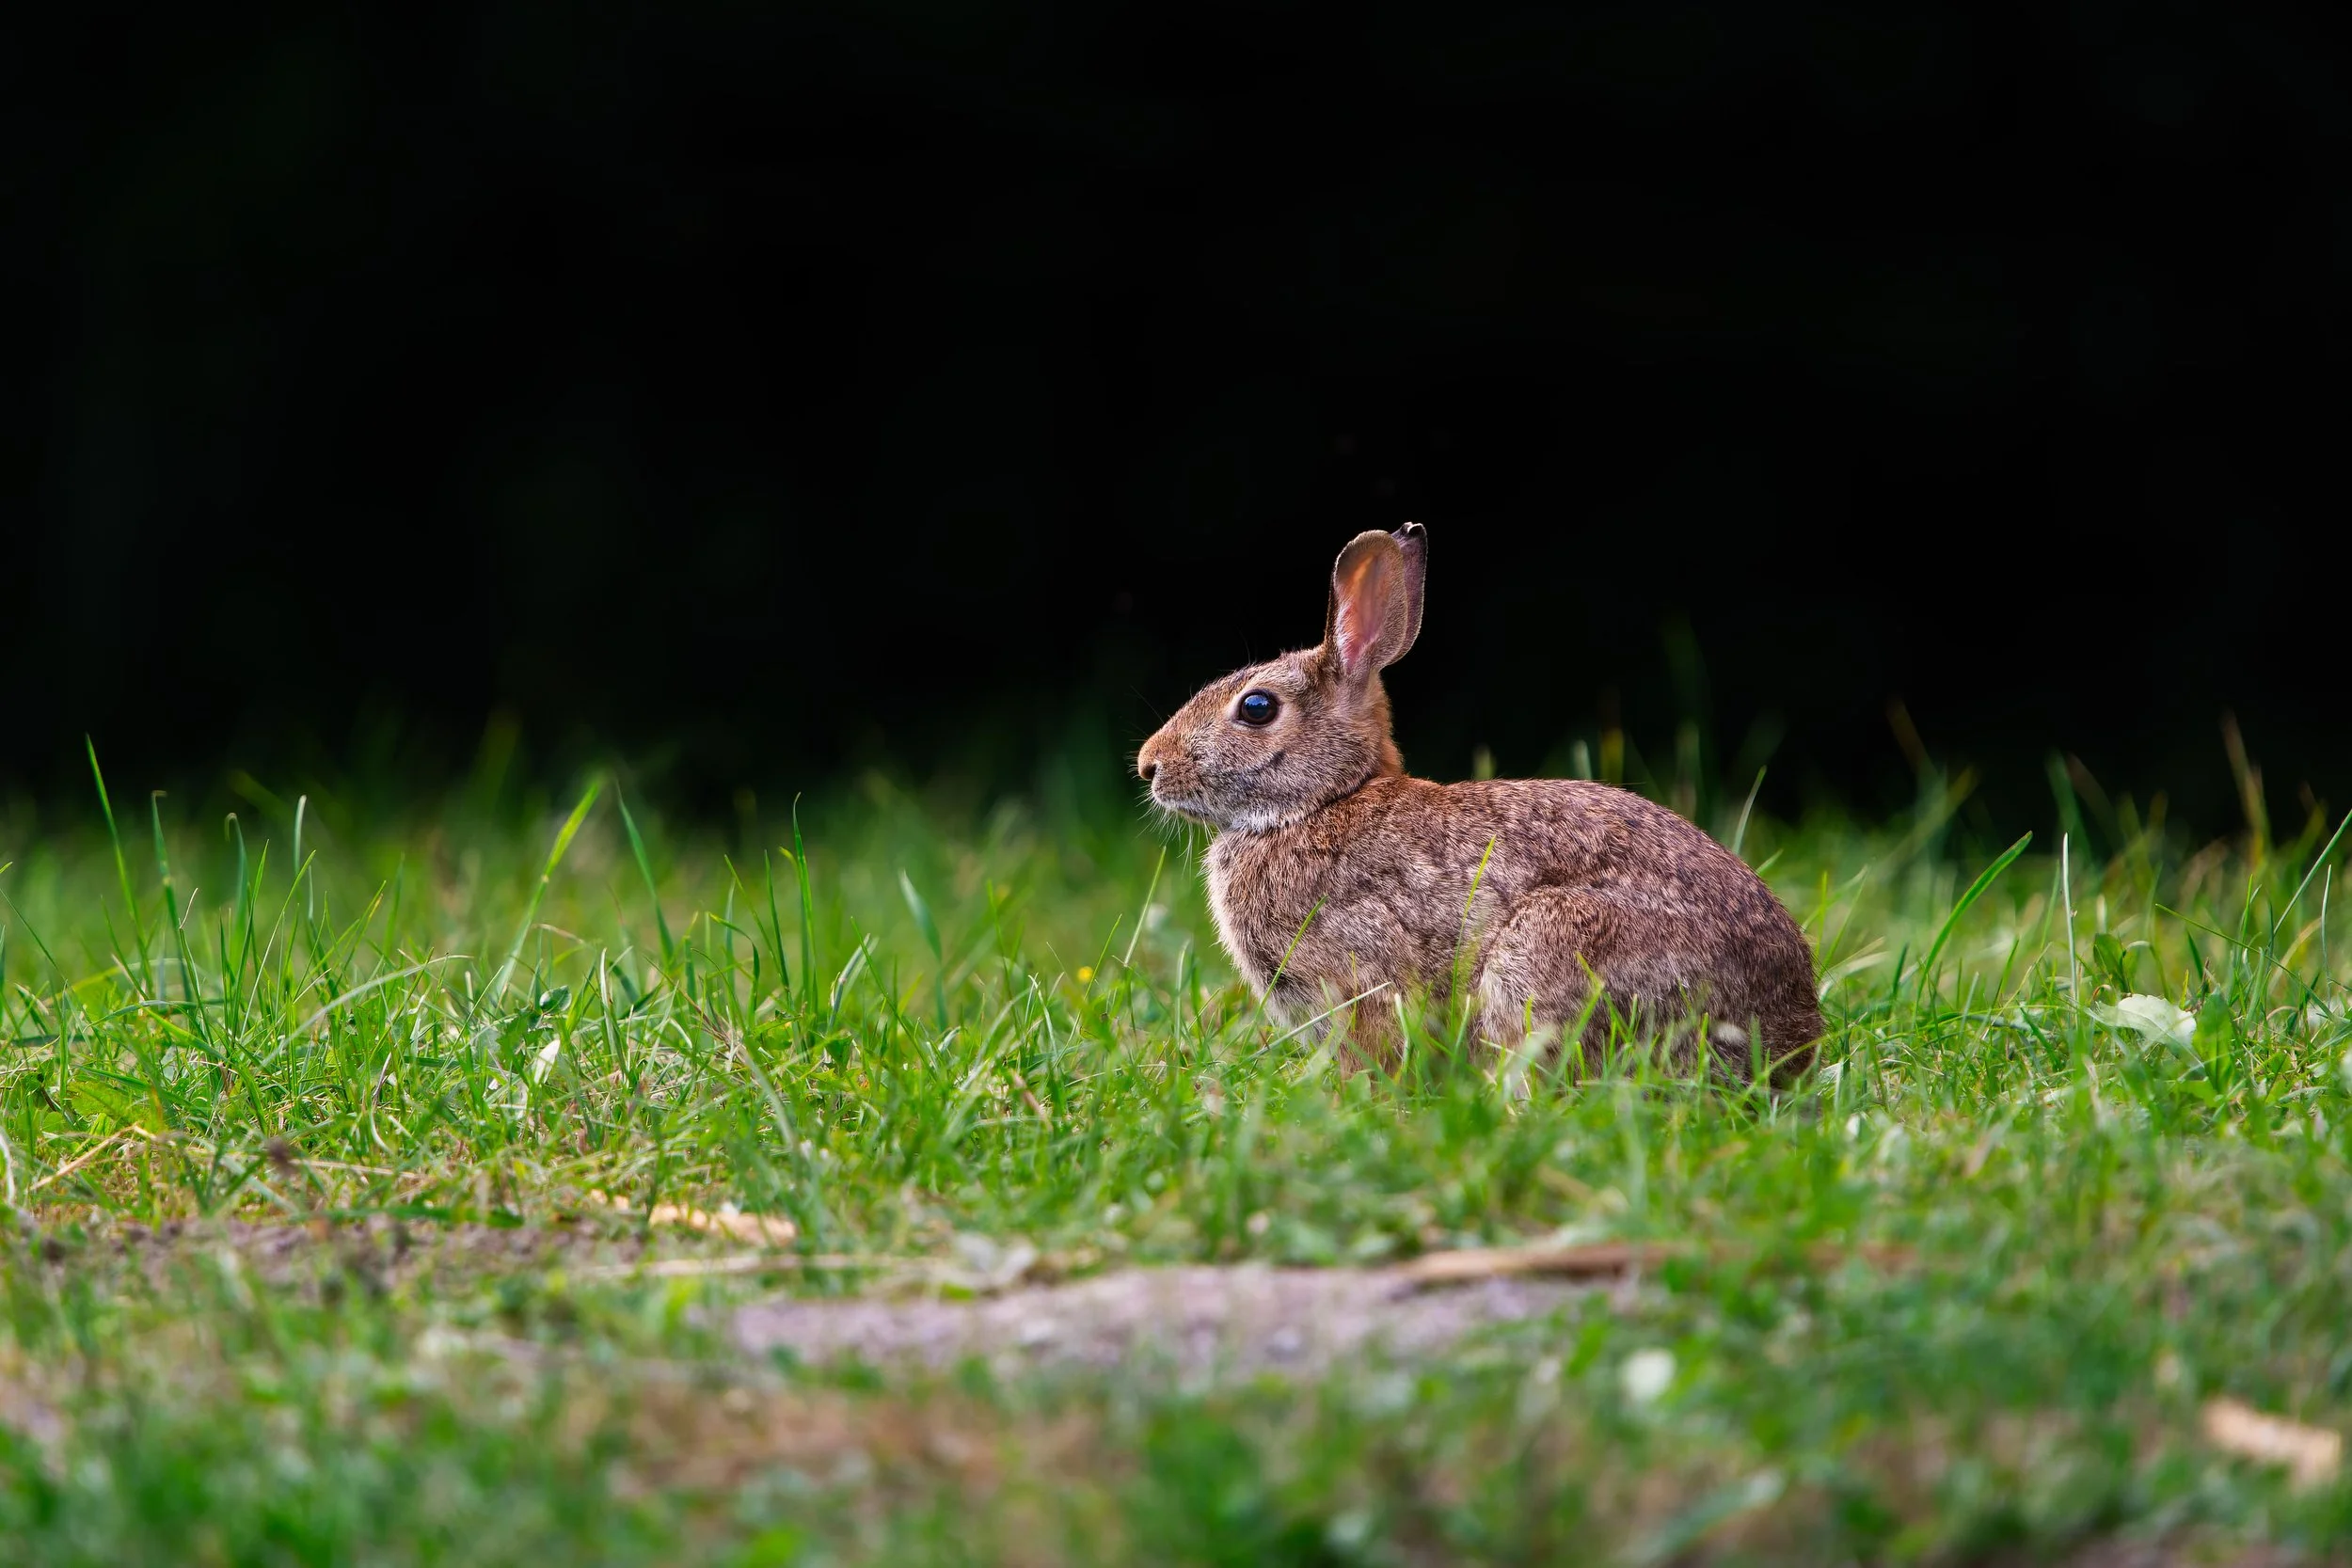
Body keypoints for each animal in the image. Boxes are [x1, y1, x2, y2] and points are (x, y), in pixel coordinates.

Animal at [1135, 523, 1822, 1082]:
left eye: (1256, 708)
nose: (1149, 765)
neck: (1325, 801)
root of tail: (1787, 1042)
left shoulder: (1361, 977)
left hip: (1545, 948)